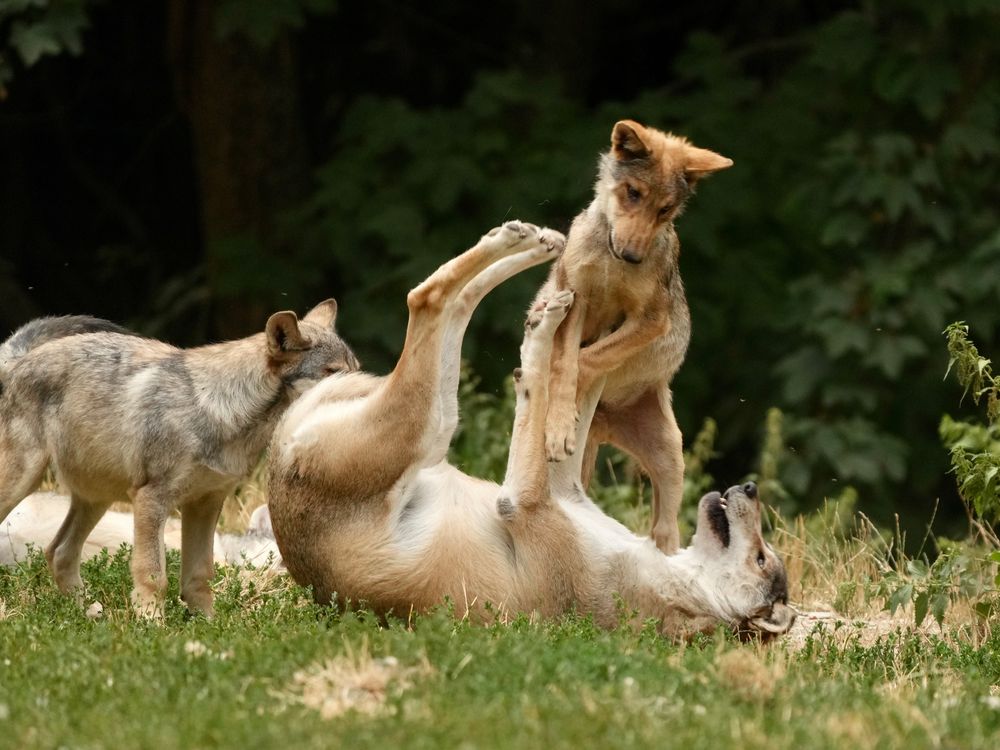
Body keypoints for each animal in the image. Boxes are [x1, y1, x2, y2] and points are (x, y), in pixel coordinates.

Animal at [0, 302, 356, 620]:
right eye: (332, 373)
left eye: (354, 370)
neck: (220, 411)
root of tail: (18, 360)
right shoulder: (152, 501)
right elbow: (153, 575)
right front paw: (152, 626)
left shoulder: (206, 504)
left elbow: (200, 574)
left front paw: (210, 626)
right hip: (25, 483)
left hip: (96, 499)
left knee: (58, 553)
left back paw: (88, 614)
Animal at [268, 223, 796, 640]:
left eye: (762, 559)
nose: (748, 486)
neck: (676, 585)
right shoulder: (565, 486)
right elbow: (575, 393)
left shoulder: (523, 500)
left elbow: (539, 387)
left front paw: (538, 351)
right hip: (436, 422)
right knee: (448, 301)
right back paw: (536, 249)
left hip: (424, 425)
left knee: (428, 300)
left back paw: (521, 255)